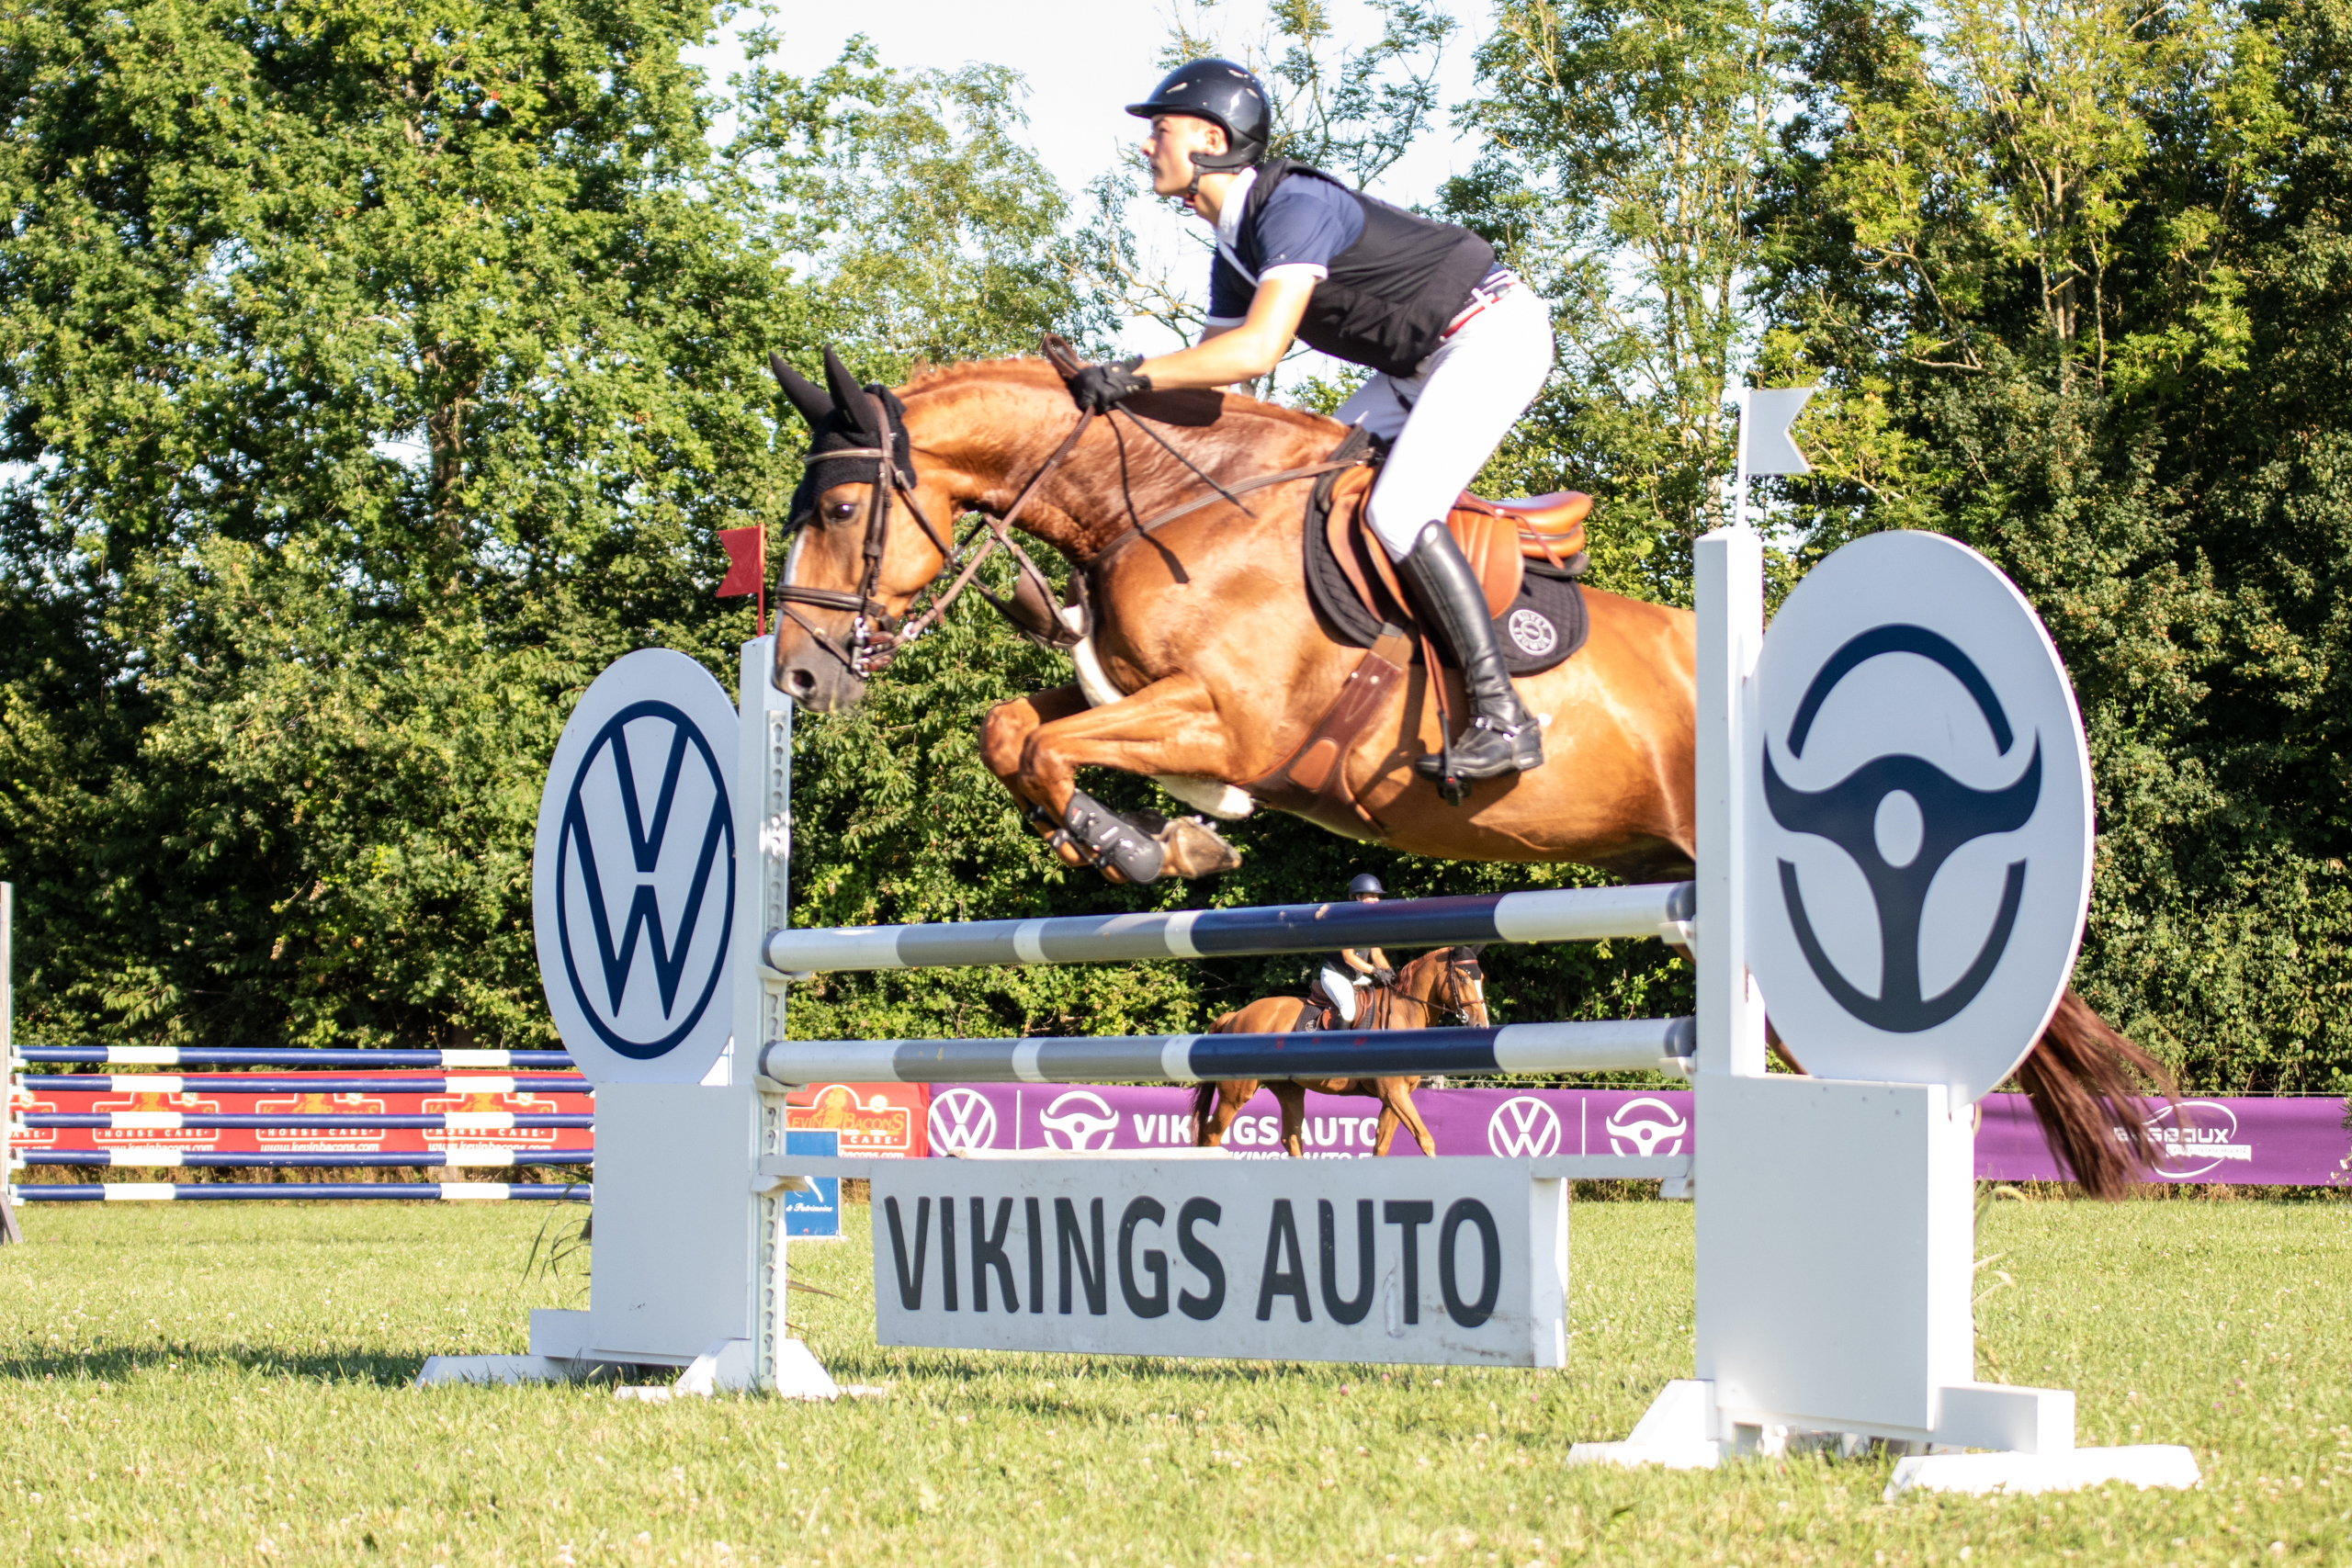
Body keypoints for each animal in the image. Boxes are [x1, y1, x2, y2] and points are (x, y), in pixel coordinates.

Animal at [1190, 945, 1490, 1158]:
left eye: (1481, 978)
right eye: (1462, 978)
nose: (1481, 1025)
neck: (1404, 1014)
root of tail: (1235, 1016)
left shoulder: (1396, 1095)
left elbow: (1381, 1146)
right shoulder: (1394, 1093)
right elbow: (1425, 1139)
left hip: (1289, 1089)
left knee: (1291, 1138)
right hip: (1236, 1092)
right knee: (1211, 1135)